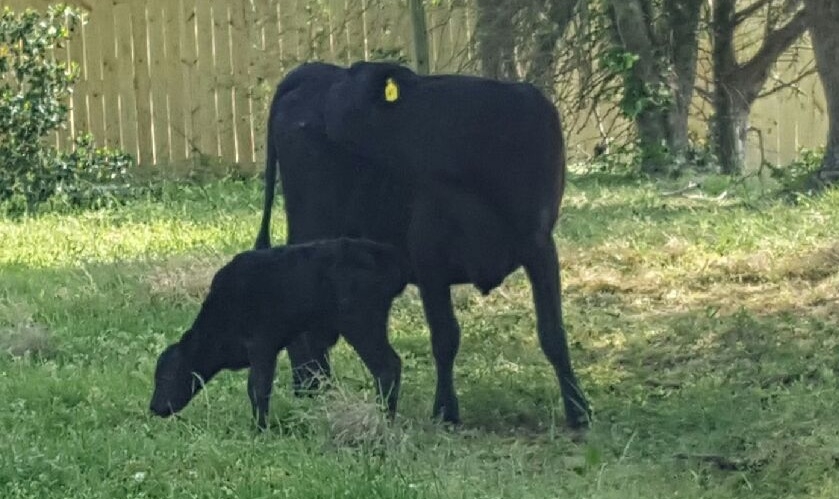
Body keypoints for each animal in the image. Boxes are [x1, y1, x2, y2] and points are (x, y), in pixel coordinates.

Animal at [149, 238, 408, 430]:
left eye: (166, 377)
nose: (153, 408)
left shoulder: (261, 344)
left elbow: (258, 388)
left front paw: (259, 429)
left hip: (362, 323)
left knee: (387, 366)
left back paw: (384, 420)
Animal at [256, 61, 592, 430]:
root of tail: (312, 71)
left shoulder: (540, 246)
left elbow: (552, 333)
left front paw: (578, 409)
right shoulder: (428, 254)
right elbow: (445, 337)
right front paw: (445, 410)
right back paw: (312, 389)